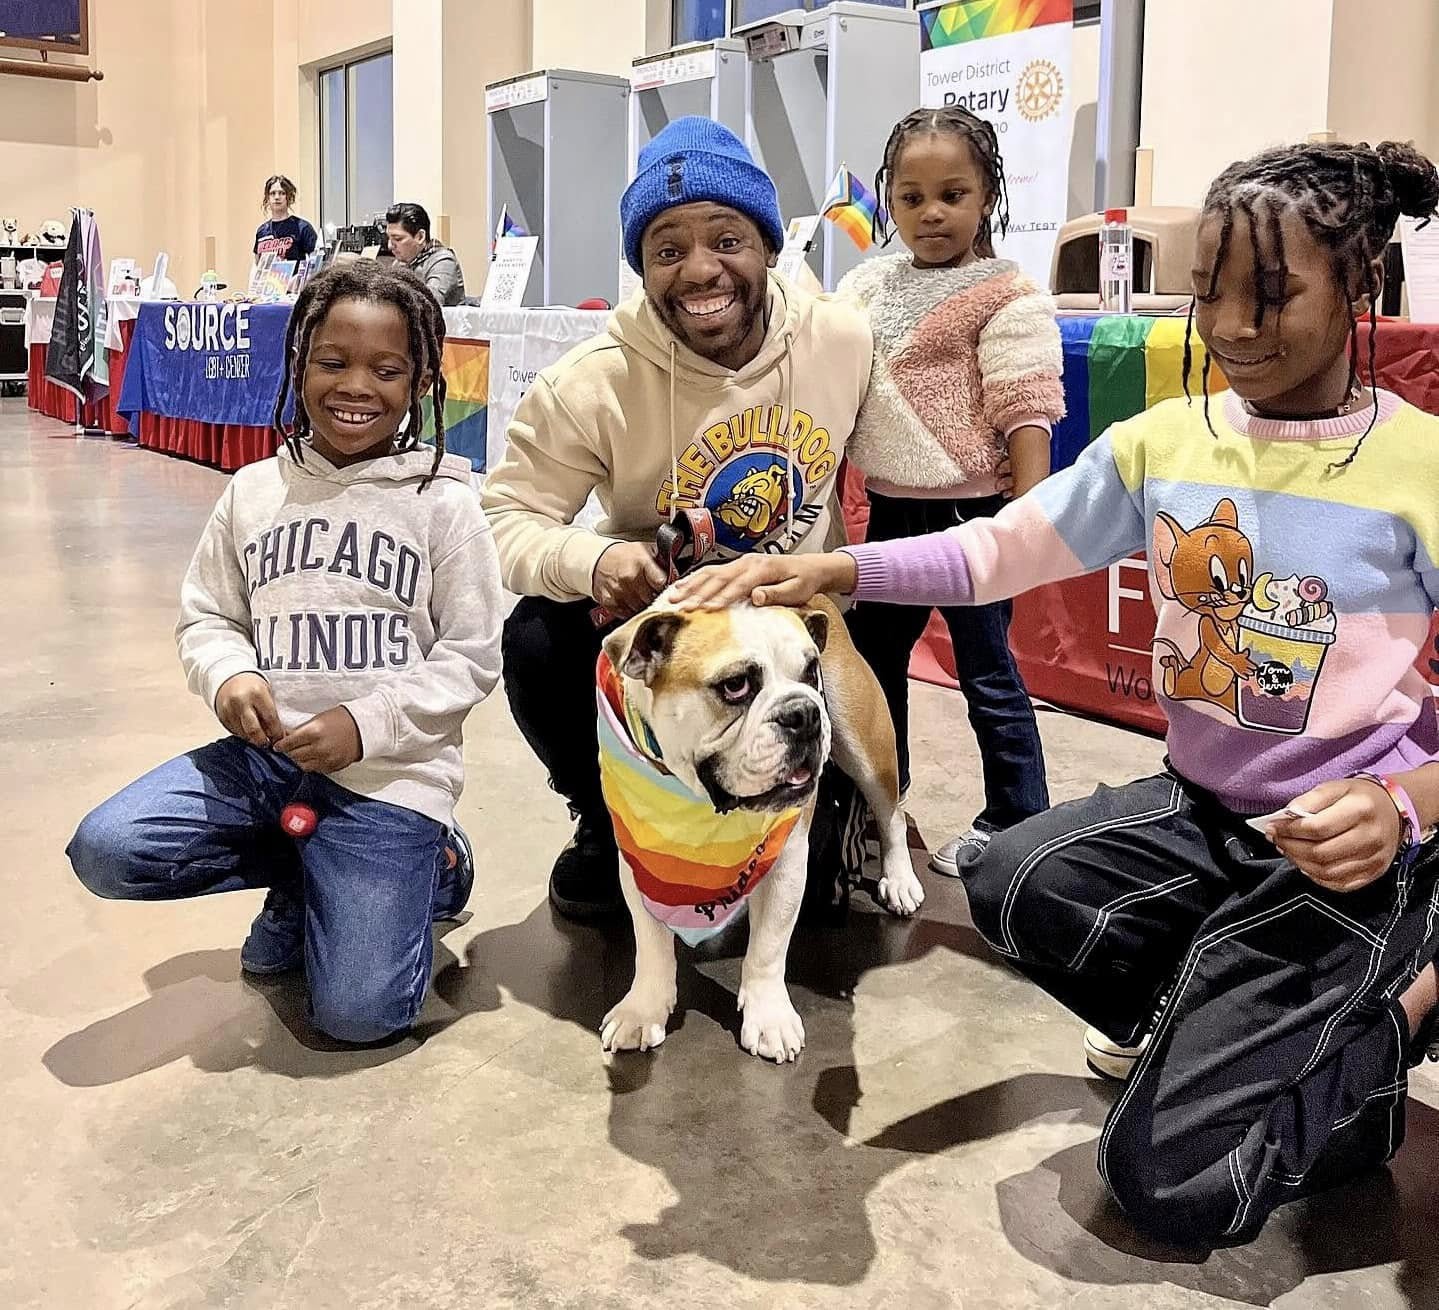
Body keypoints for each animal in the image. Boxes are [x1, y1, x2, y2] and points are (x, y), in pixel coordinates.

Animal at [592, 595, 920, 1065]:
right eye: (735, 686)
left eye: (810, 672)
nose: (804, 712)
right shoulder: (641, 858)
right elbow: (651, 943)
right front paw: (643, 1009)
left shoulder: (788, 859)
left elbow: (768, 946)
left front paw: (769, 1018)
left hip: (866, 747)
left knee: (890, 814)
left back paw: (900, 880)